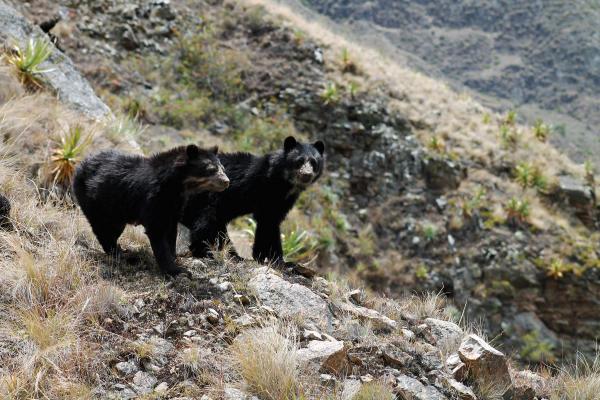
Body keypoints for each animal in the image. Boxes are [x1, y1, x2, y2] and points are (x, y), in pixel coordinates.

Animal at [71, 145, 230, 276]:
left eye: (223, 168)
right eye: (211, 169)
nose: (226, 182)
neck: (177, 187)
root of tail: (81, 164)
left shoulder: (175, 206)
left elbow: (171, 232)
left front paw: (175, 258)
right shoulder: (154, 198)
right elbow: (157, 231)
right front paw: (176, 271)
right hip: (97, 201)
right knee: (104, 229)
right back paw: (119, 254)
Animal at [182, 136, 326, 264]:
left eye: (314, 162)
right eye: (299, 161)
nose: (307, 174)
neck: (286, 183)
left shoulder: (286, 199)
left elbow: (270, 223)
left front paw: (269, 258)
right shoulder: (266, 190)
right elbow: (268, 221)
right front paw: (273, 259)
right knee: (207, 222)